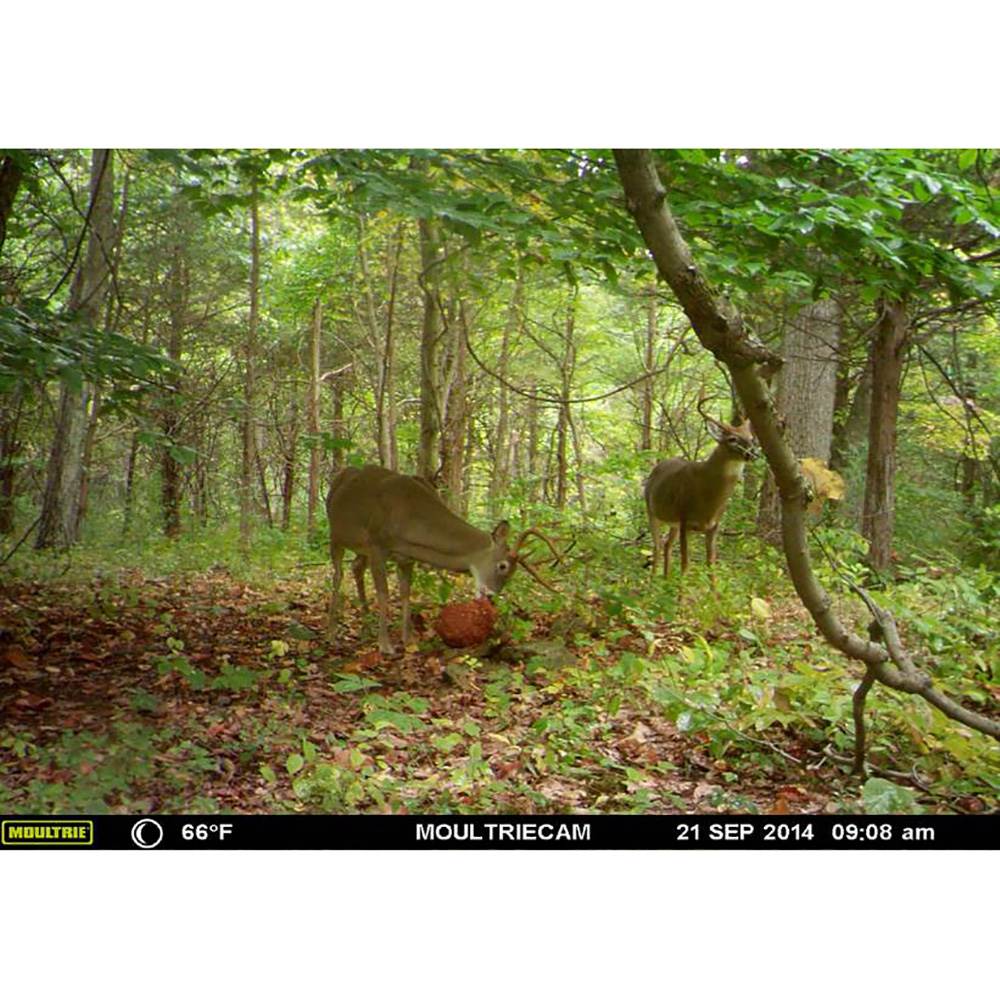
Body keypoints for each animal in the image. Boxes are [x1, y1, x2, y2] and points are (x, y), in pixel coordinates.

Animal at [325, 464, 558, 655]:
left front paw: (408, 639)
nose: (491, 596)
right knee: (338, 574)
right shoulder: (377, 544)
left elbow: (406, 593)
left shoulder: (406, 557)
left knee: (356, 567)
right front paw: (385, 645)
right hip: (337, 534)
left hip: (360, 549)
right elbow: (384, 594)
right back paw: (332, 631)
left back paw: (366, 625)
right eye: (503, 566)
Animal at [644, 400, 759, 577]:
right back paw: (652, 582)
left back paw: (666, 579)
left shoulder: (713, 526)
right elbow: (685, 565)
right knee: (656, 546)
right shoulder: (685, 520)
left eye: (751, 438)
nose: (752, 453)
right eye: (732, 439)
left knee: (666, 544)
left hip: (673, 523)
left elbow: (711, 566)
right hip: (652, 511)